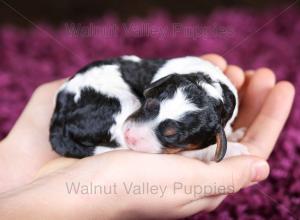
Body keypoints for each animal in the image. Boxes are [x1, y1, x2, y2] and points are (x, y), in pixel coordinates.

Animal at [49, 55, 248, 162]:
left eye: (171, 135)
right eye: (148, 103)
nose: (130, 135)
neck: (211, 87)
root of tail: (59, 114)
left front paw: (233, 134)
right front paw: (233, 148)